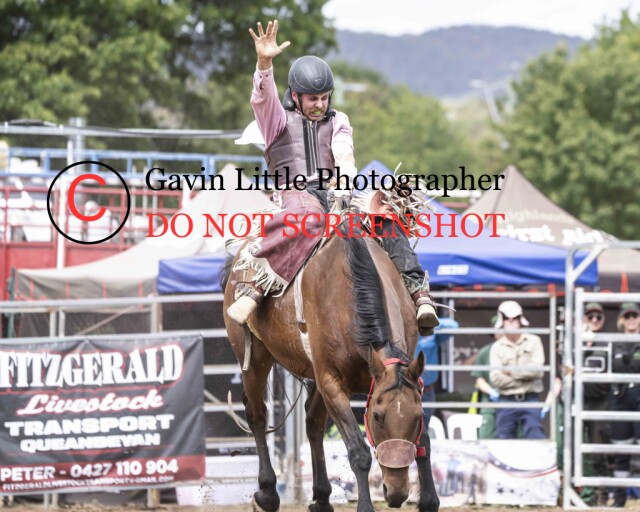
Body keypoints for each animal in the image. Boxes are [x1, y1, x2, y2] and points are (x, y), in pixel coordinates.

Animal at [222, 226, 439, 512]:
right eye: (377, 416)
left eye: (416, 417)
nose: (396, 493)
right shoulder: (331, 382)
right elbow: (359, 451)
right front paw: (366, 507)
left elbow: (423, 442)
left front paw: (428, 501)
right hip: (255, 357)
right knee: (256, 415)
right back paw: (267, 494)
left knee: (312, 422)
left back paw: (322, 498)